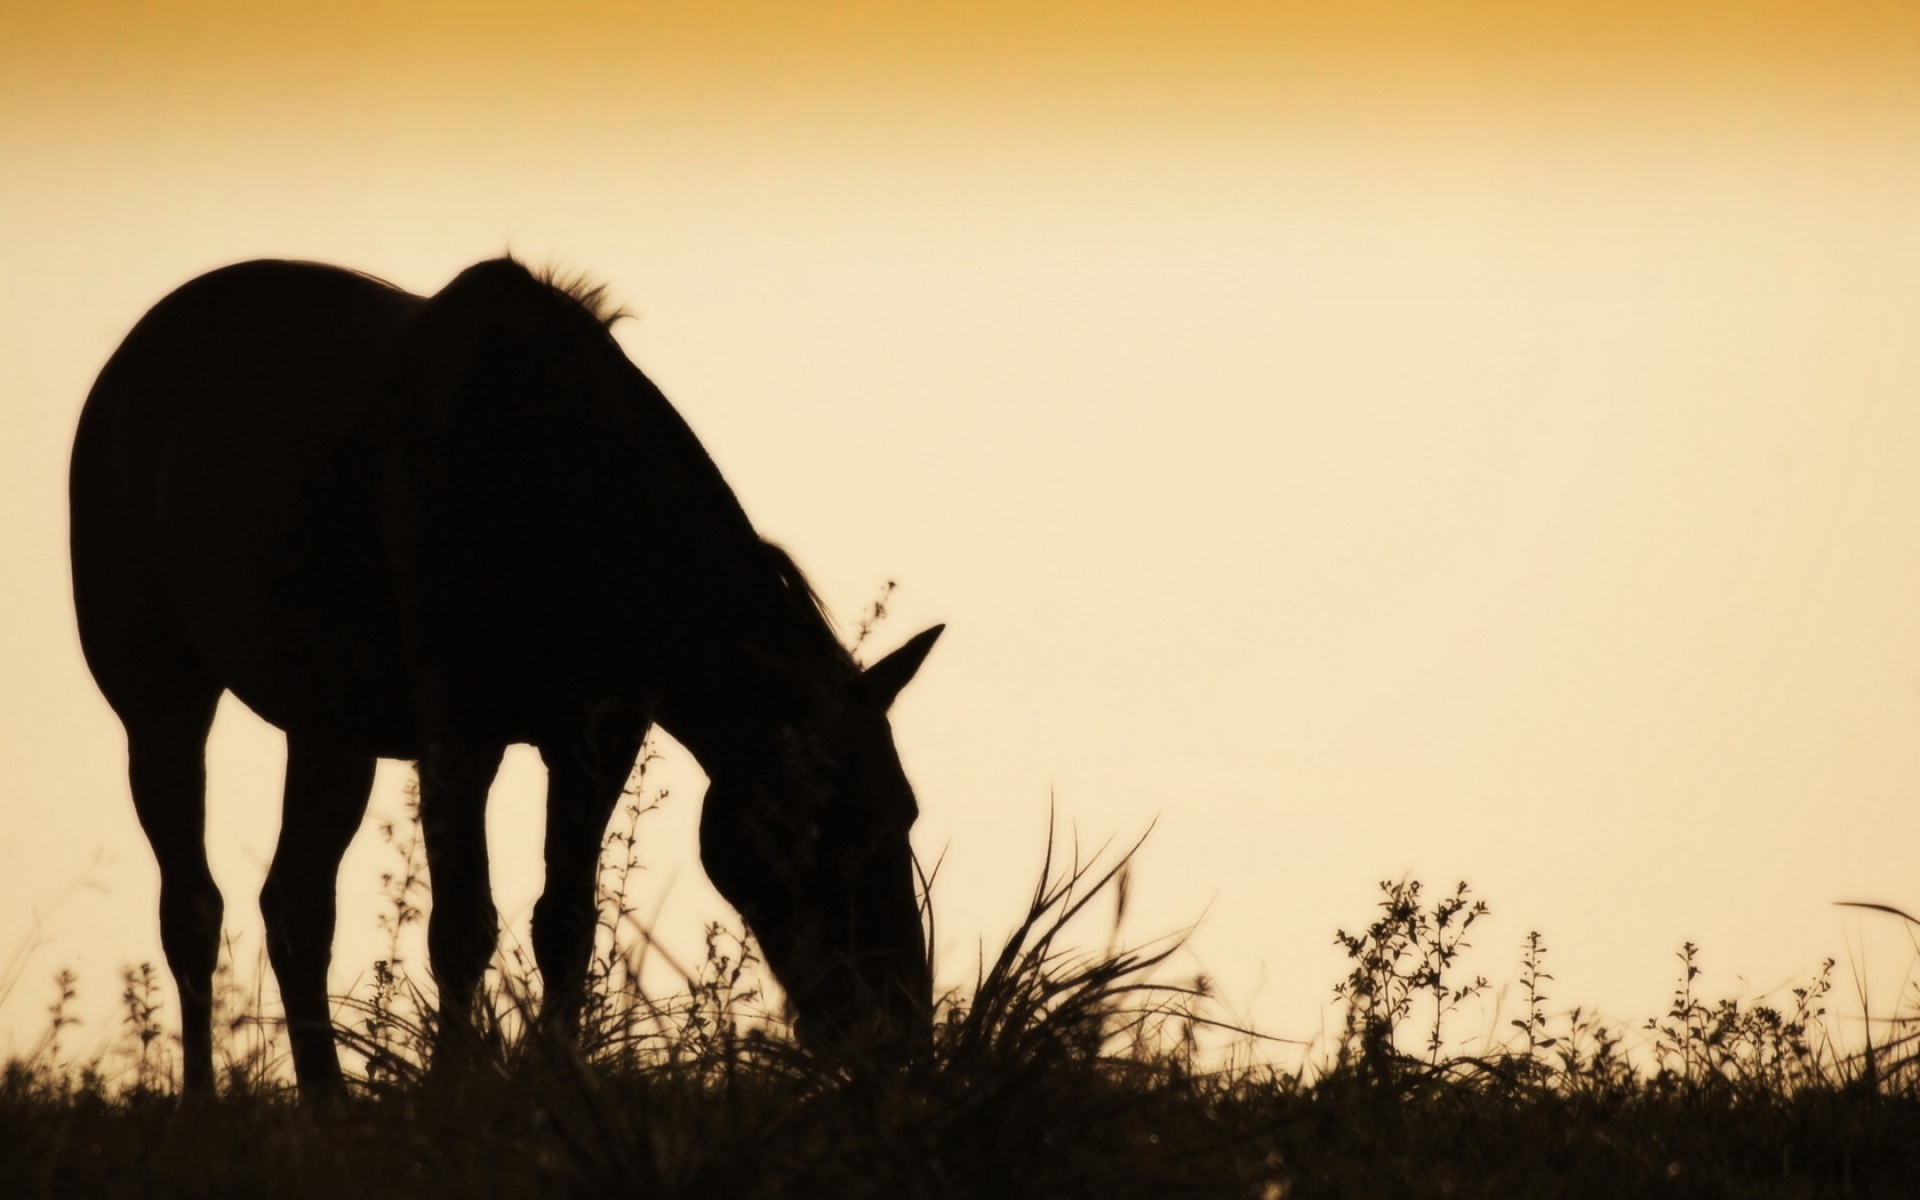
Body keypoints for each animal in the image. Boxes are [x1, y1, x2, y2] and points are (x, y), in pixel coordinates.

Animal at [68, 257, 943, 1097]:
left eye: (905, 813)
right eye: (820, 825)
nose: (897, 1025)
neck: (553, 483)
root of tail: (120, 372)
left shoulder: (596, 738)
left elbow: (565, 923)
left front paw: (561, 1078)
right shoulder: (459, 733)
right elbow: (461, 927)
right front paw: (454, 1091)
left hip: (329, 731)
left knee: (295, 908)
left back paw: (327, 1103)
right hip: (162, 705)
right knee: (192, 908)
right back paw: (202, 1103)